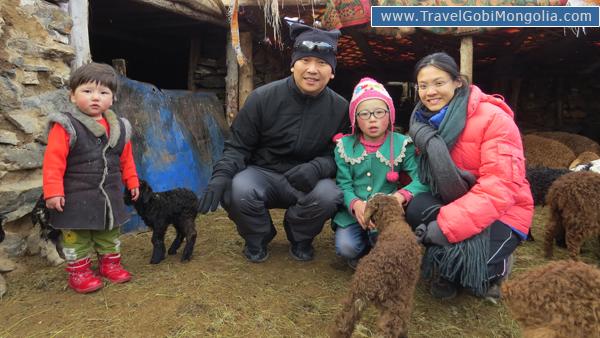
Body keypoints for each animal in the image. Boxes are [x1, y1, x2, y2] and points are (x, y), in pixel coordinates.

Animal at [332, 193, 422, 338]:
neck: (393, 224)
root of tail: (371, 283)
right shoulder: (406, 293)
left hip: (355, 297)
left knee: (343, 322)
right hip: (394, 304)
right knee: (387, 331)